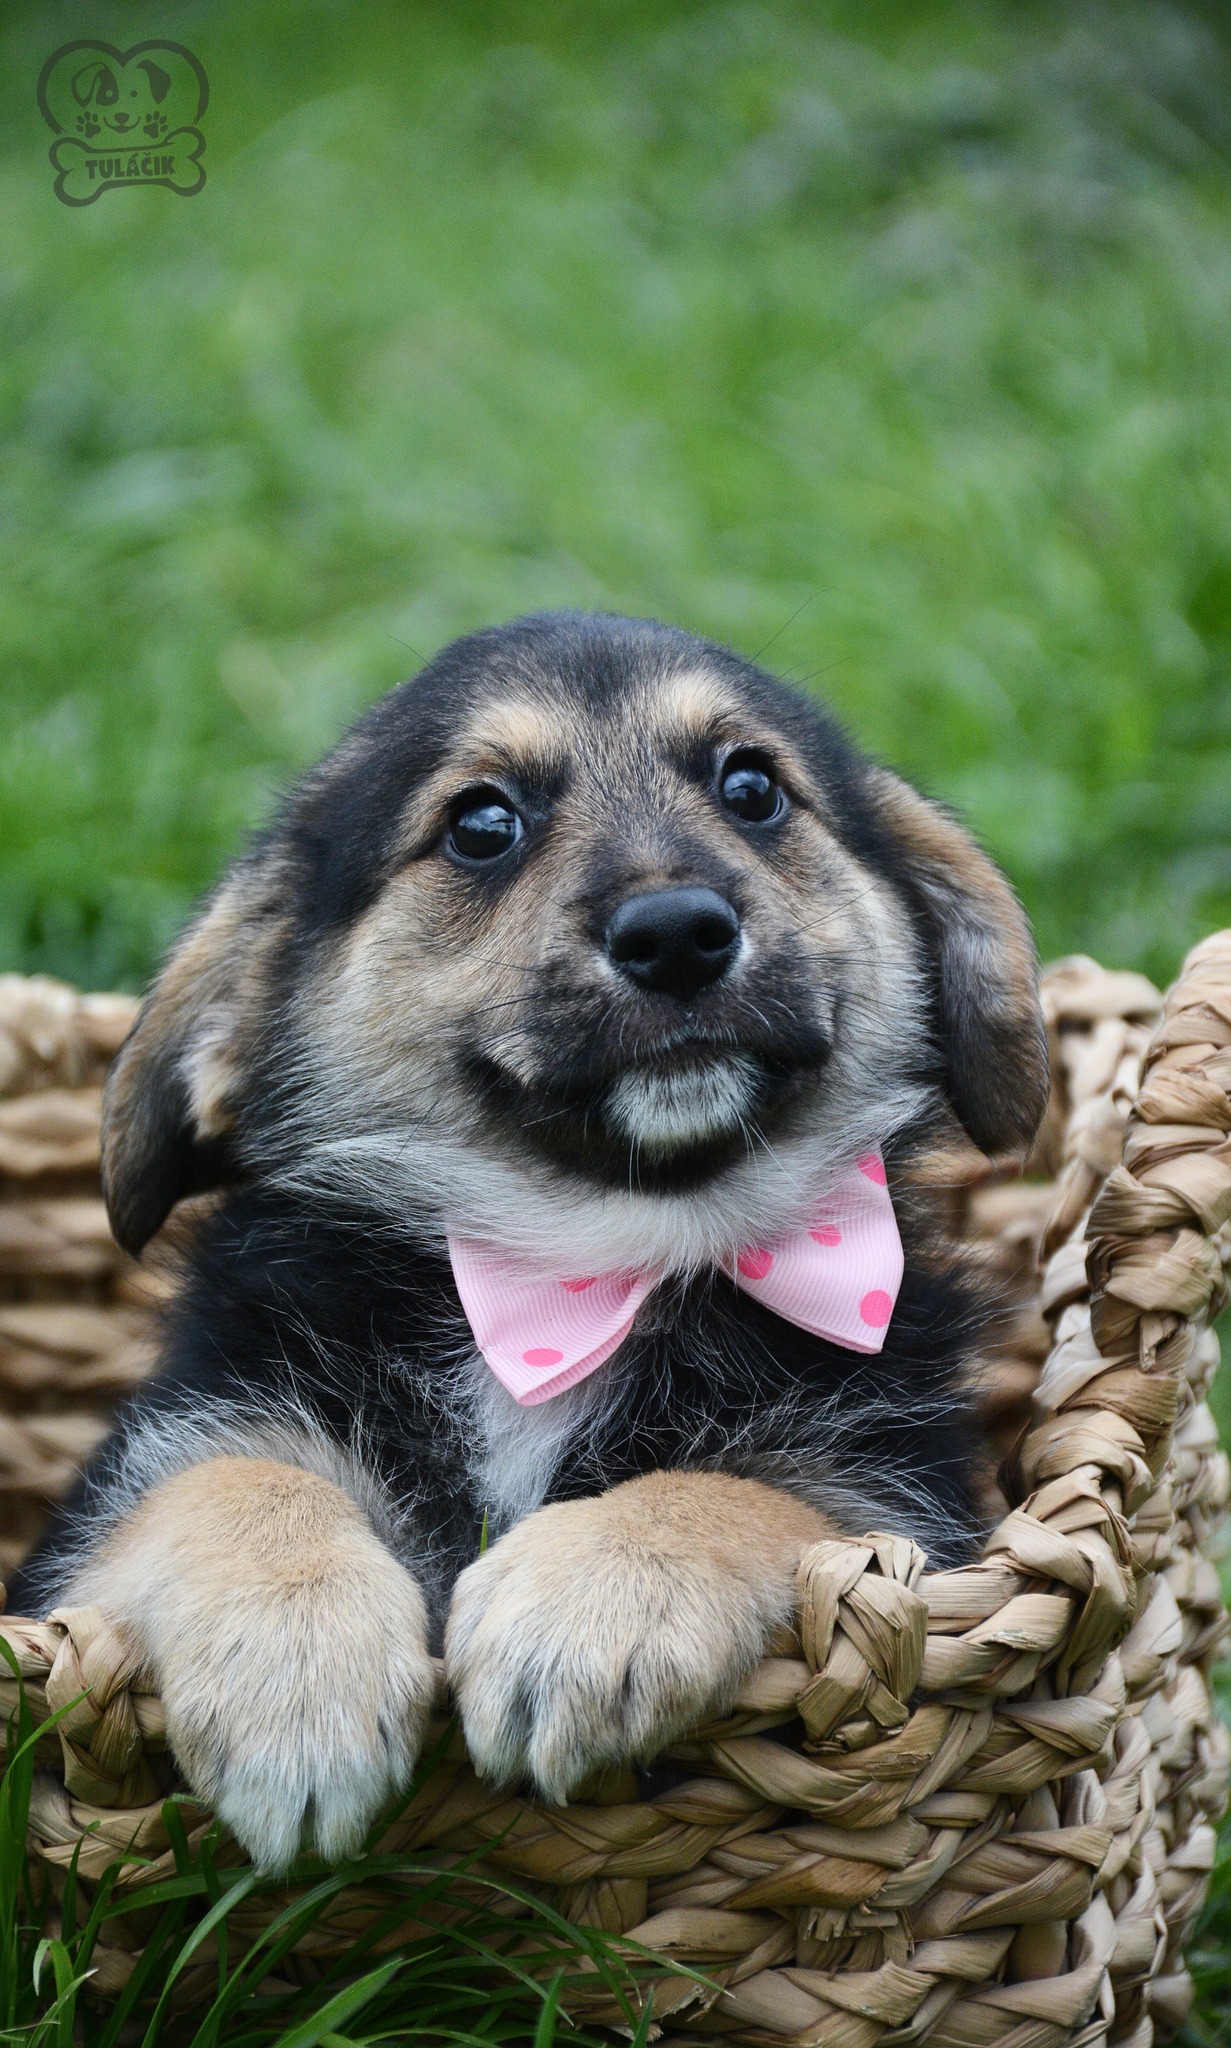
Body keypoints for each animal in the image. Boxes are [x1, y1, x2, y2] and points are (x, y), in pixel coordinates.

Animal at [10, 611, 1048, 1874]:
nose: (677, 933)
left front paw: (587, 1606)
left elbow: (725, 1487)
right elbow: (236, 1481)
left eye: (752, 787)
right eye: (481, 822)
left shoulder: (898, 1506)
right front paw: (296, 1677)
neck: (580, 1254)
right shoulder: (132, 1491)